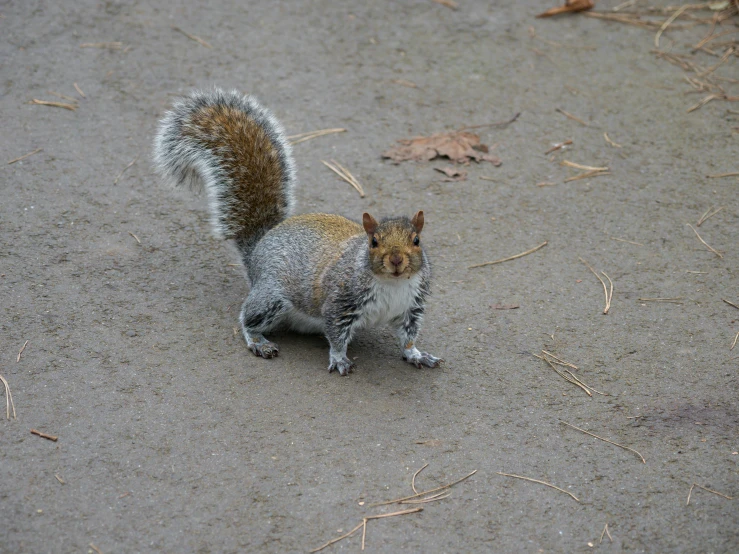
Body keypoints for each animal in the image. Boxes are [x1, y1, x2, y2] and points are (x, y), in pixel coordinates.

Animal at [153, 89, 442, 376]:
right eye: (373, 242)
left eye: (417, 240)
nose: (396, 260)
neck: (393, 284)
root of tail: (260, 246)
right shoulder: (339, 304)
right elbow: (337, 335)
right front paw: (339, 358)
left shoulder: (411, 307)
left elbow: (408, 337)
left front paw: (417, 354)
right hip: (271, 298)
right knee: (247, 317)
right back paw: (258, 341)